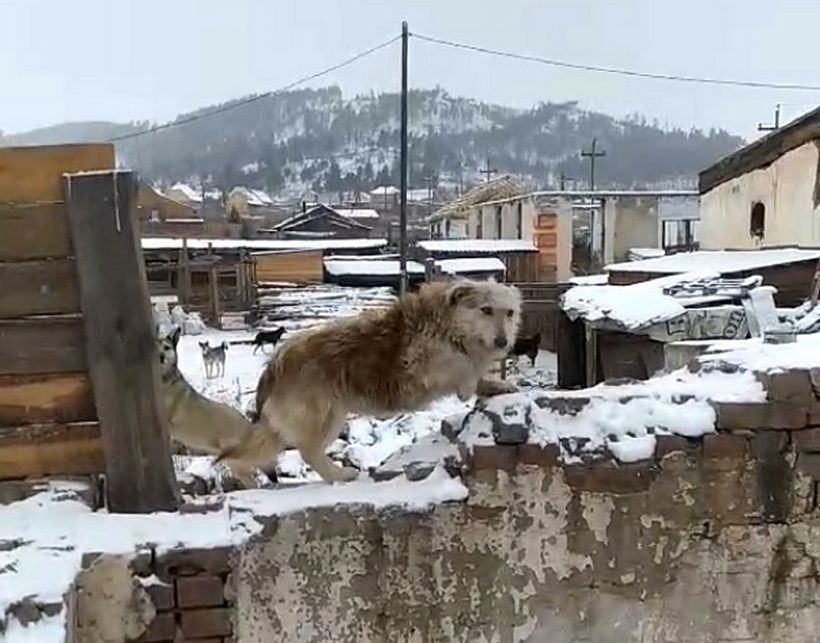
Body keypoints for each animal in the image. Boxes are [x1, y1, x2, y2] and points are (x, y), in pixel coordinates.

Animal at [219, 278, 520, 484]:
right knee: (308, 452)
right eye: (485, 310)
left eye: (509, 313)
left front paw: (496, 384)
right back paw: (340, 475)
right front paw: (476, 384)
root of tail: (276, 363)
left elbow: (476, 372)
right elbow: (464, 369)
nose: (503, 342)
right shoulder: (425, 368)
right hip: (324, 416)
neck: (447, 324)